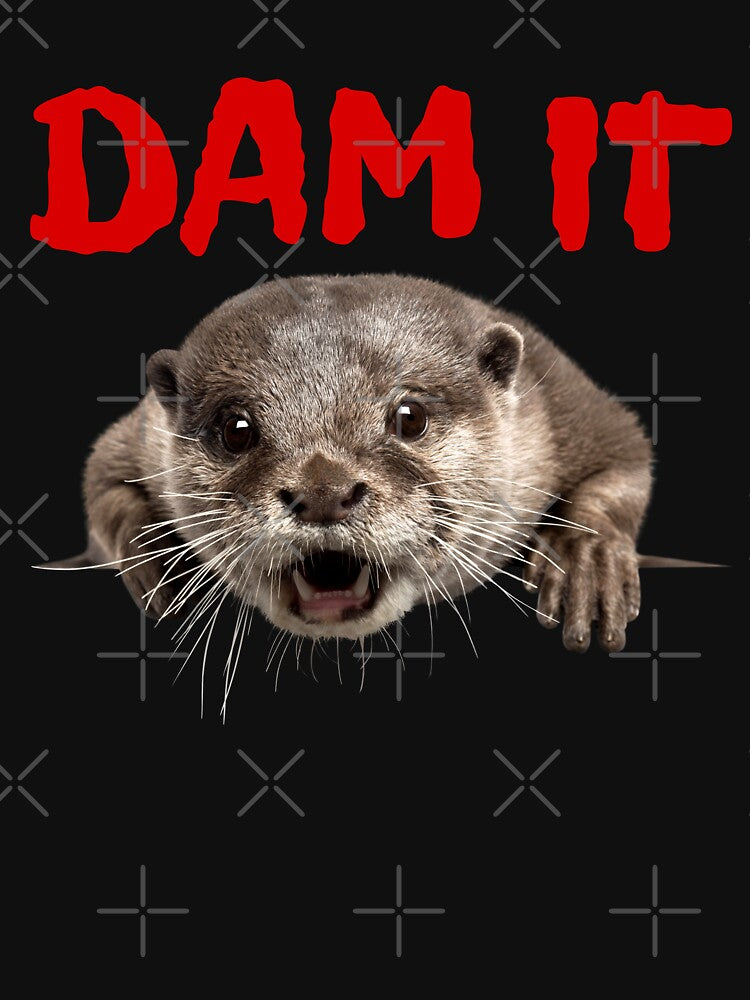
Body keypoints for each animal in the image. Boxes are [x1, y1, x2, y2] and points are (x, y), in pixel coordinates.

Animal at [48, 274, 687, 654]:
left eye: (409, 416)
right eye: (236, 429)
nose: (323, 492)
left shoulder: (561, 405)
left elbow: (623, 463)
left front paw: (586, 561)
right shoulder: (139, 435)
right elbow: (100, 477)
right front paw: (149, 555)